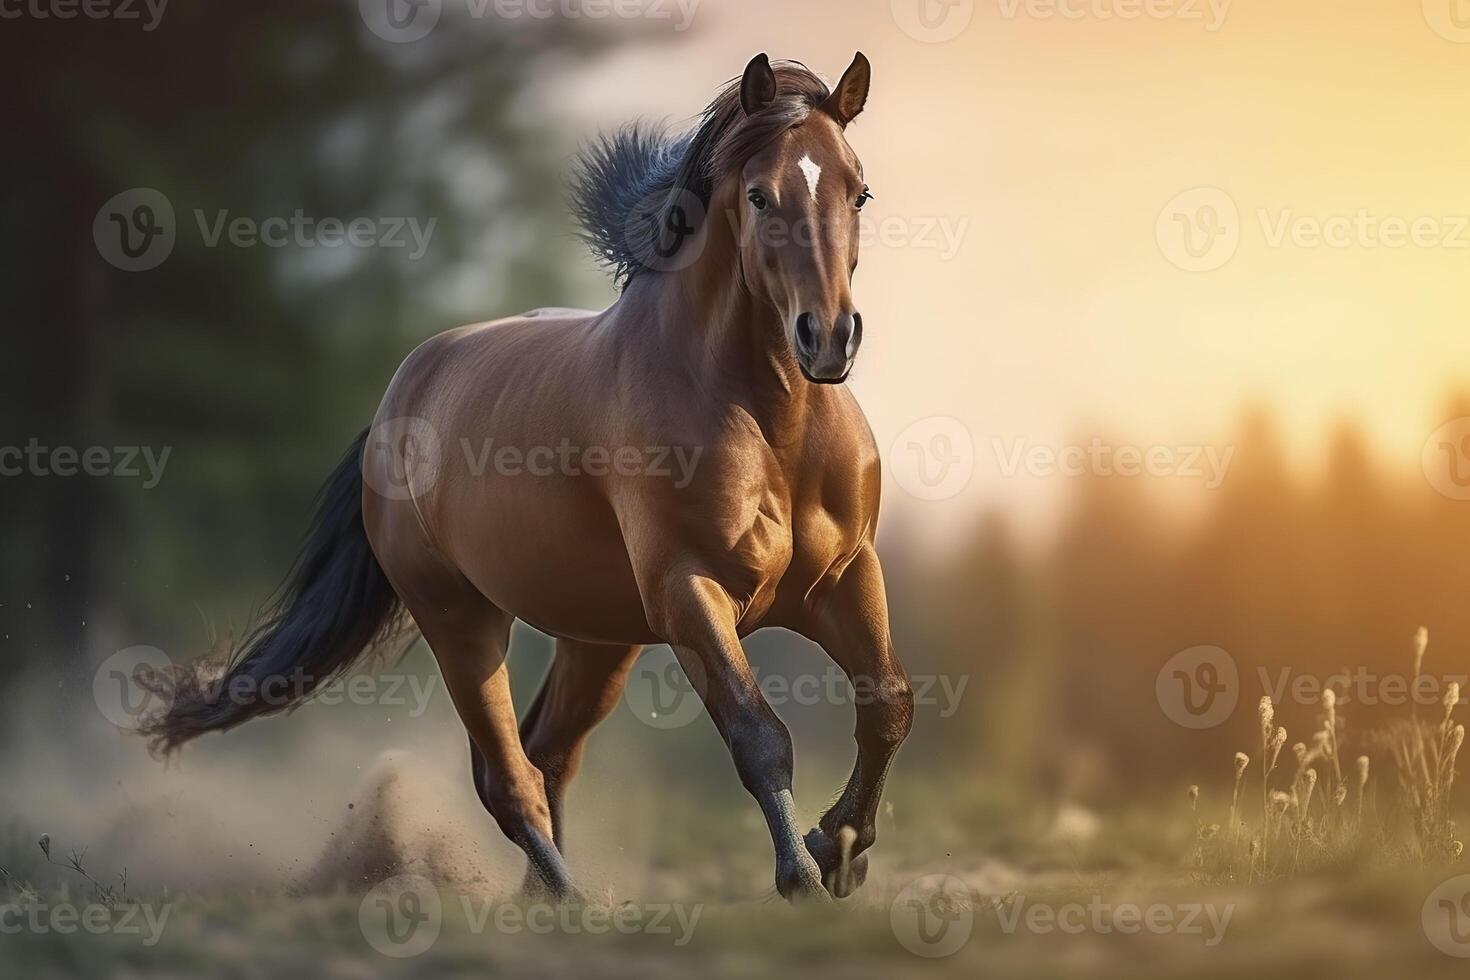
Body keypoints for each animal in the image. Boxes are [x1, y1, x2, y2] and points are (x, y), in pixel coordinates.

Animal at [146, 49, 905, 899]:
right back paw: (568, 901)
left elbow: (887, 706)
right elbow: (757, 734)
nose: (828, 338)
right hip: (461, 622)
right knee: (506, 776)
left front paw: (840, 847)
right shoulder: (690, 591)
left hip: (598, 636)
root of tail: (399, 400)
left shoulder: (844, 576)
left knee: (548, 751)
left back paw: (550, 896)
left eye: (858, 189)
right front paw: (802, 874)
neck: (770, 425)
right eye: (757, 194)